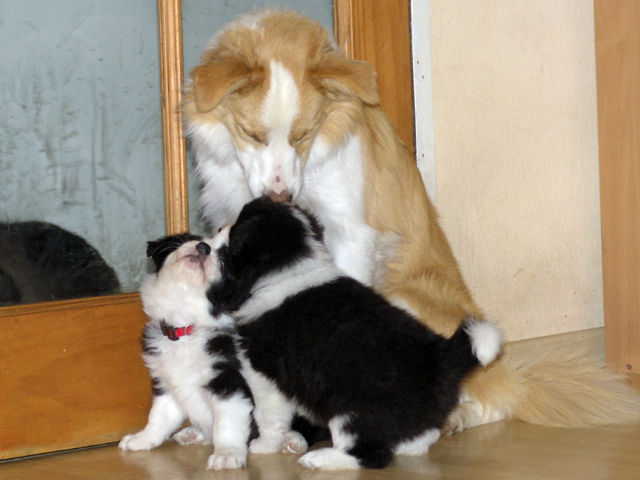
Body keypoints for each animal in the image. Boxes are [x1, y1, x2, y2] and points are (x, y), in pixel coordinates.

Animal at [183, 9, 640, 431]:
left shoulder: (350, 233)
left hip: (406, 299)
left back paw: (454, 417)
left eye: (303, 134)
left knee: (490, 398)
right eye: (252, 134)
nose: (280, 196)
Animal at [206, 197, 503, 470]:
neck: (290, 271)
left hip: (350, 411)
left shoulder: (263, 376)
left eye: (236, 226)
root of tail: (443, 359)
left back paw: (320, 459)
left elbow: (268, 417)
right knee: (419, 438)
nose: (219, 227)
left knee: (370, 455)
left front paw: (264, 446)